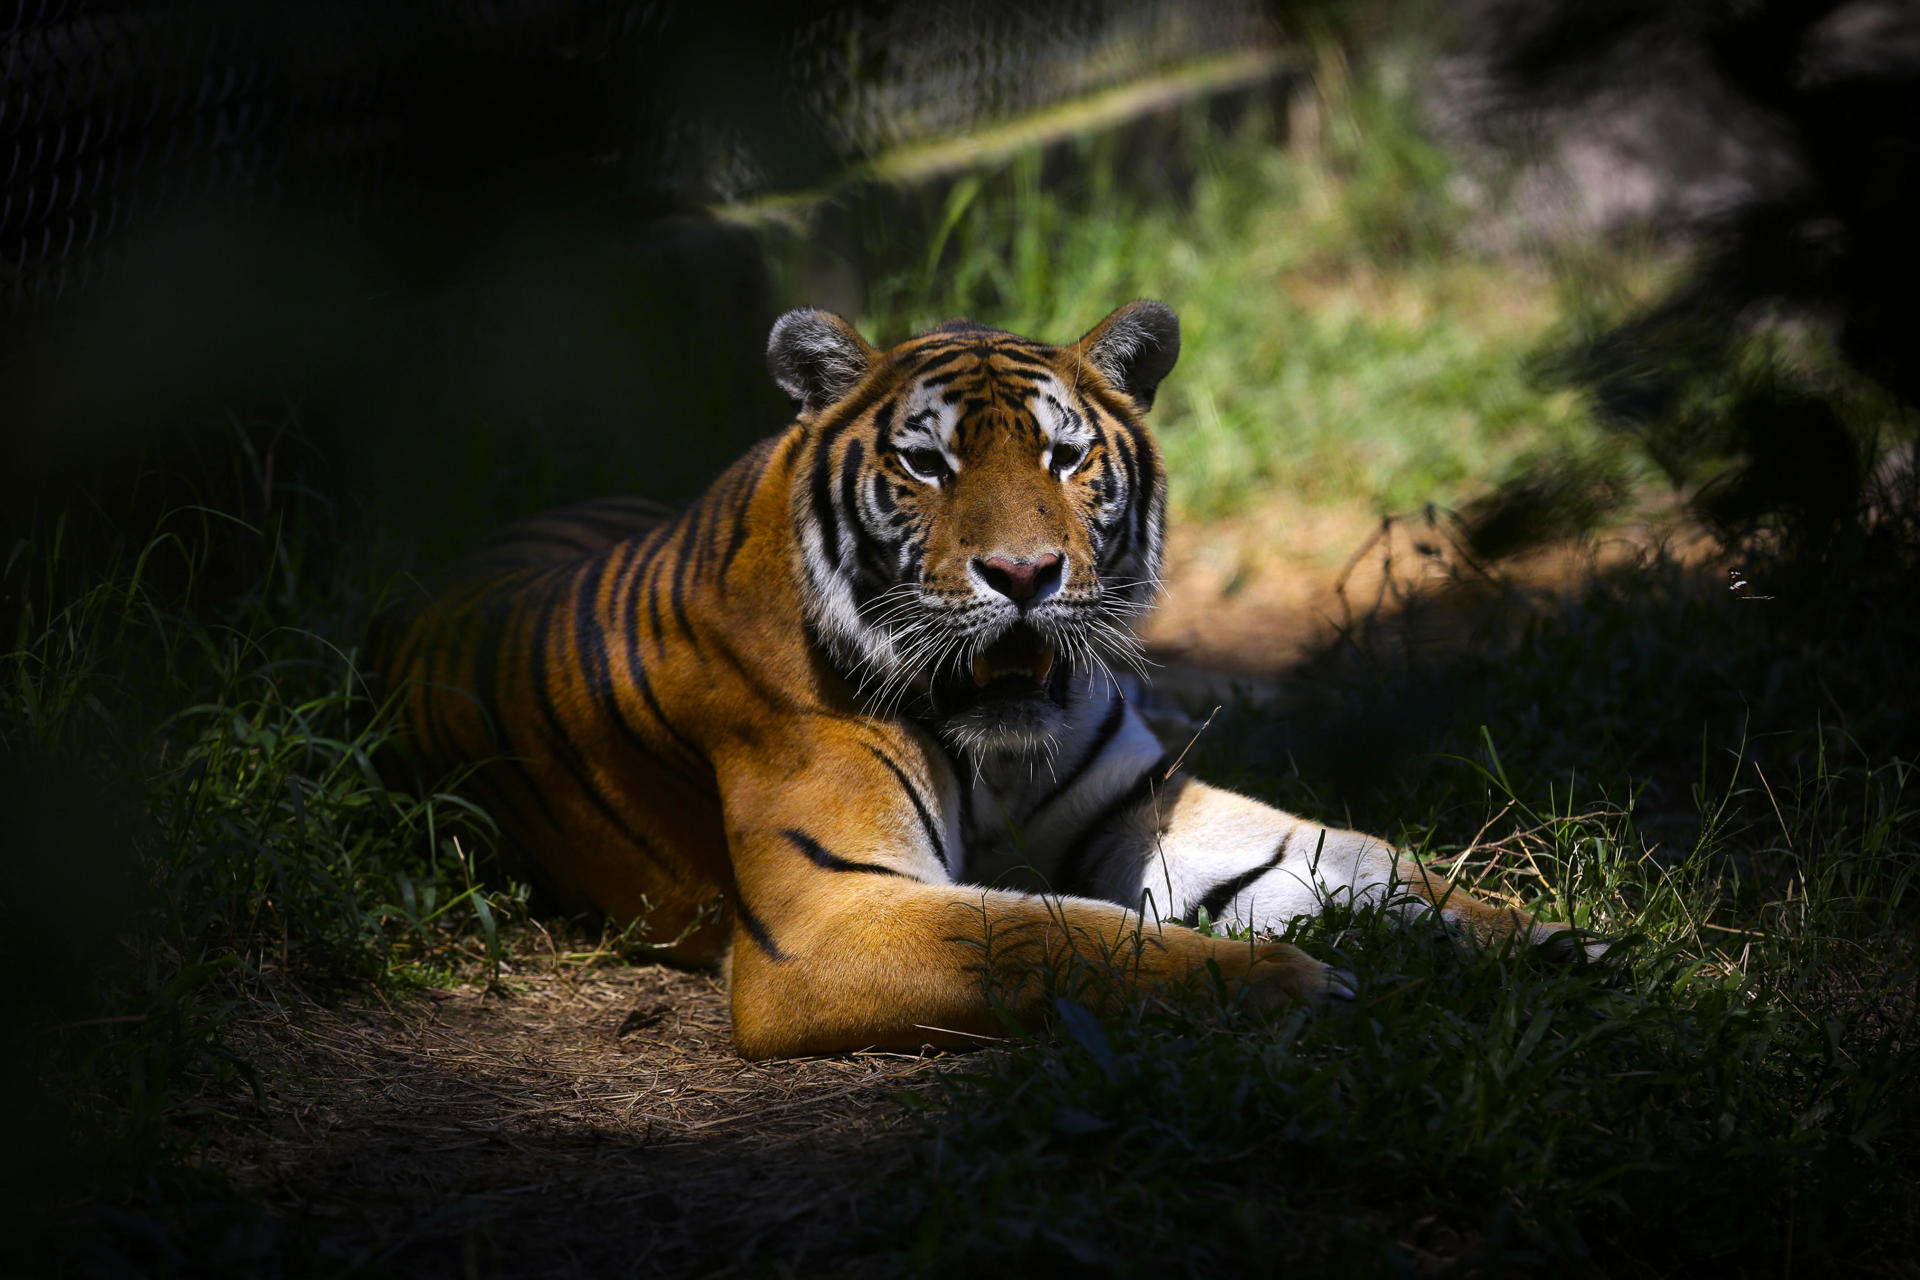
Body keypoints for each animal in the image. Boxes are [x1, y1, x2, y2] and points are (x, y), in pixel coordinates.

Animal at [370, 301, 1589, 1059]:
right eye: (926, 463)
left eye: (1066, 455)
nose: (1024, 573)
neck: (995, 738)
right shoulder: (831, 913)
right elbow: (1054, 935)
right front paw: (1289, 983)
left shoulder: (1141, 806)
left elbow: (1363, 859)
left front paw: (1548, 943)